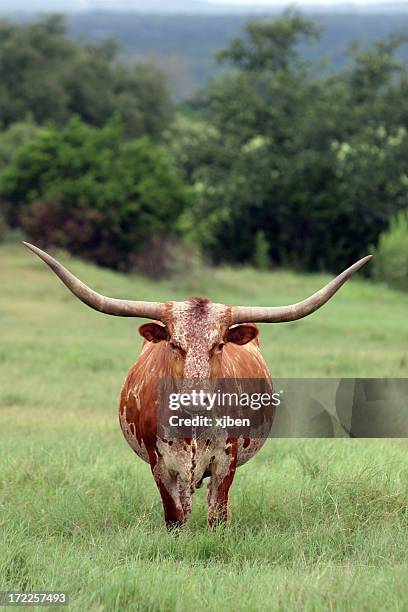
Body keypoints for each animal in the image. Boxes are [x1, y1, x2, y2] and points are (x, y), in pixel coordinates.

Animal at [23, 241, 372, 528]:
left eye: (219, 344)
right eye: (175, 344)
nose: (195, 400)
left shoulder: (225, 463)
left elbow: (217, 515)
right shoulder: (160, 465)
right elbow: (174, 516)